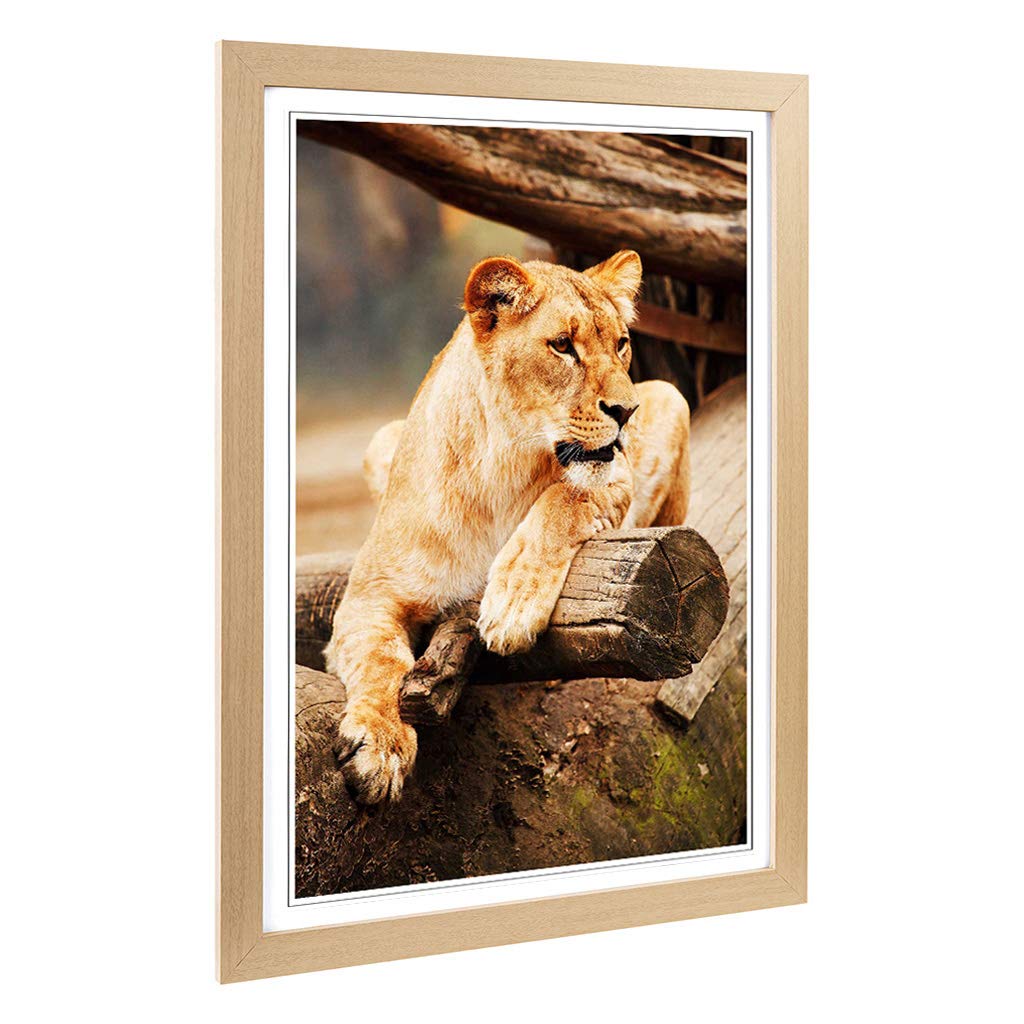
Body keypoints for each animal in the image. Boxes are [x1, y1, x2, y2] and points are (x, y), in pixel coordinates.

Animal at [325, 250, 690, 803]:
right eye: (562, 346)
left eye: (621, 344)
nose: (627, 412)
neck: (501, 467)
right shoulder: (368, 597)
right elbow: (379, 660)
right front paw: (380, 745)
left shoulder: (613, 475)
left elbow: (565, 497)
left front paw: (512, 604)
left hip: (671, 397)